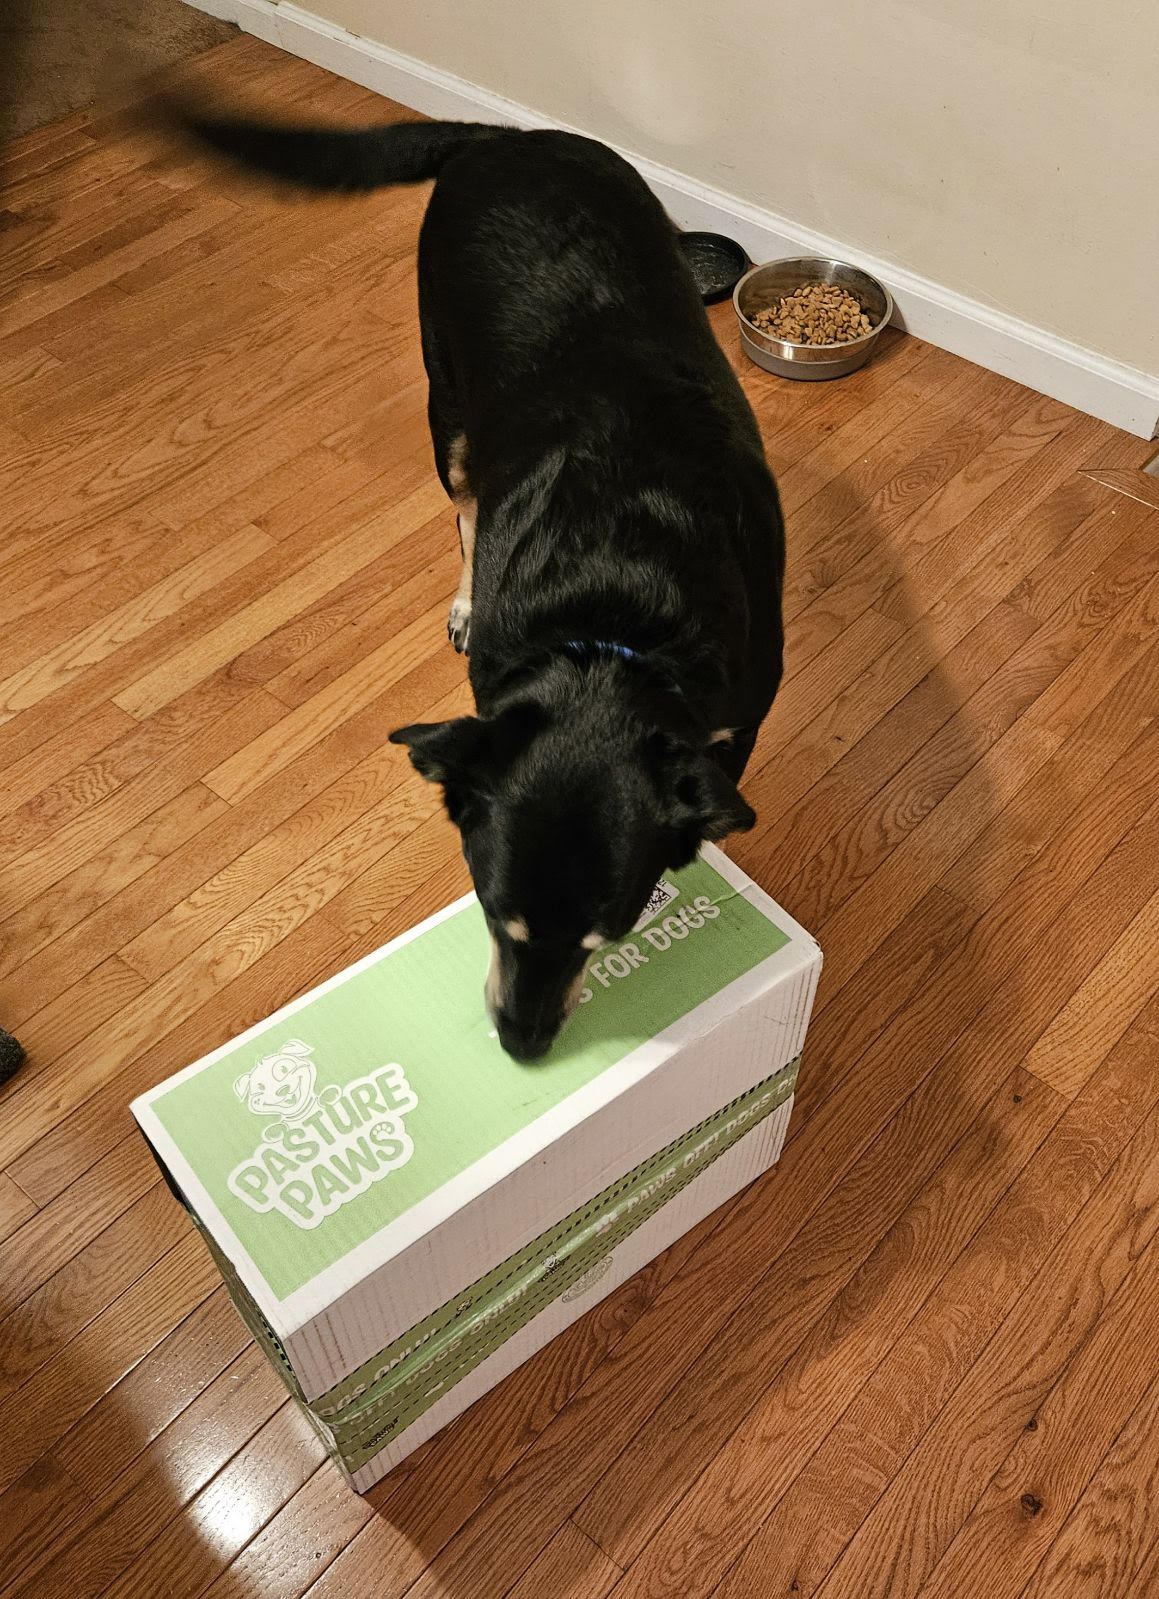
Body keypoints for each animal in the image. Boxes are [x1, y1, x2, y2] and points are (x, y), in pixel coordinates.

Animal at [169, 112, 786, 1061]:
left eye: (611, 935)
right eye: (490, 913)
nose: (521, 1046)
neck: (618, 613)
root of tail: (512, 134)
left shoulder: (739, 708)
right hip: (447, 400)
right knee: (463, 505)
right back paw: (465, 593)